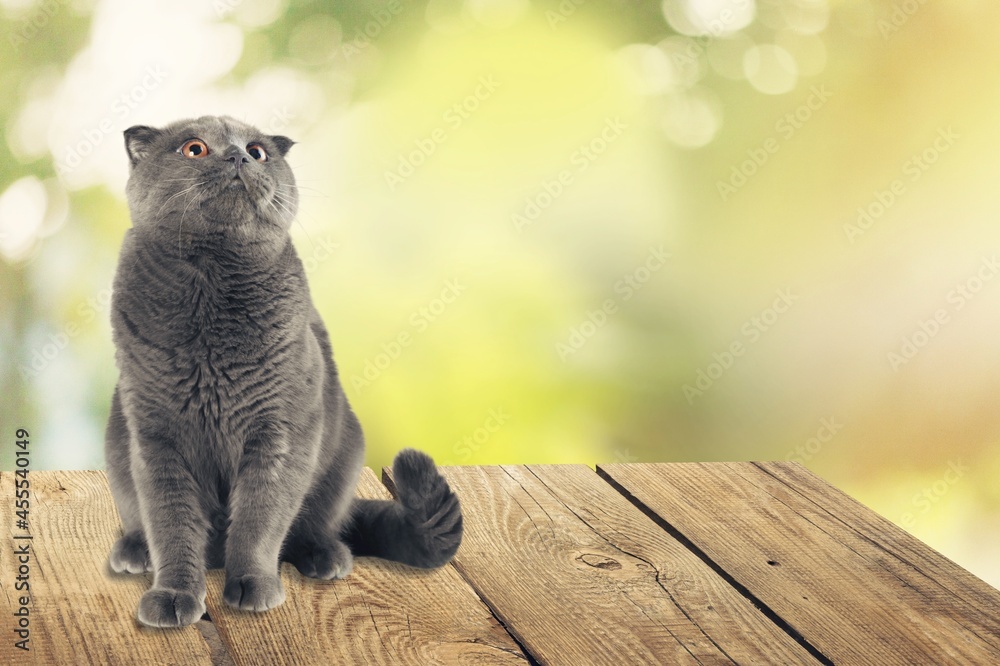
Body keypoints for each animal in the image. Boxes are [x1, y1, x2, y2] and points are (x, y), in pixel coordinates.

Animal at [103, 115, 462, 628]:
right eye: (194, 148)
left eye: (257, 152)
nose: (237, 156)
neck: (212, 284)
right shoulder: (157, 437)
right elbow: (171, 524)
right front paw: (172, 595)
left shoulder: (280, 433)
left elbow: (260, 518)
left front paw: (254, 586)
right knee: (140, 520)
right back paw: (134, 552)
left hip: (343, 455)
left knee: (316, 525)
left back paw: (325, 556)